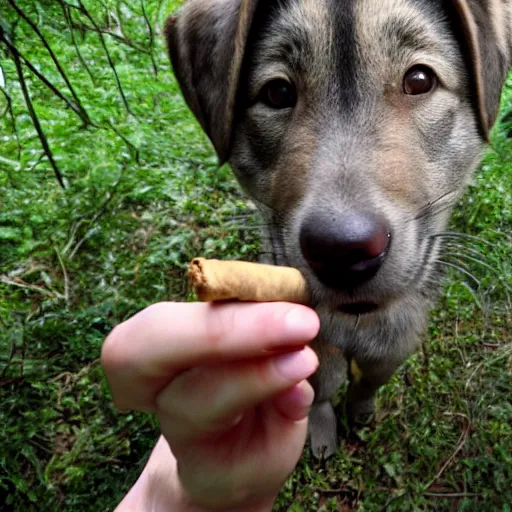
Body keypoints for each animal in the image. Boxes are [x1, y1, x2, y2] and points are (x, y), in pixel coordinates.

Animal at [166, 0, 510, 458]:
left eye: (419, 80)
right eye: (277, 93)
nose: (343, 252)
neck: (356, 324)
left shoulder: (397, 337)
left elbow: (372, 377)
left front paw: (361, 411)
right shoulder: (312, 338)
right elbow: (322, 385)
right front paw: (322, 426)